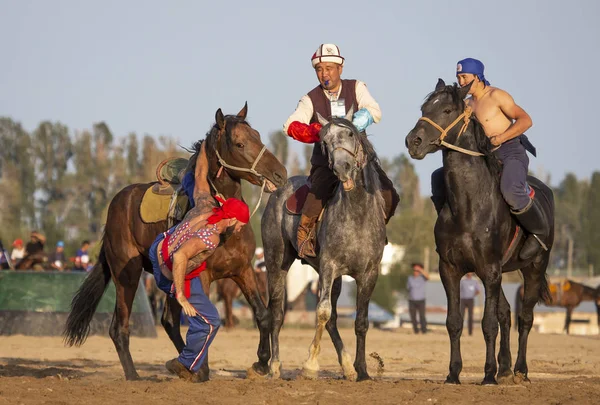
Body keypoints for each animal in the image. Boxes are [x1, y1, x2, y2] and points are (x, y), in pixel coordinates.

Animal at [66, 103, 288, 378]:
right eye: (239, 143)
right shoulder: (203, 276)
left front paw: (261, 363)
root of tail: (117, 205)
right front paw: (203, 368)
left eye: (257, 135)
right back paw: (135, 375)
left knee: (169, 321)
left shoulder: (242, 270)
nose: (280, 174)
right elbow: (203, 319)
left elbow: (263, 315)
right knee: (120, 327)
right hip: (127, 275)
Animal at [262, 107, 384, 378]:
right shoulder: (329, 266)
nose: (342, 167)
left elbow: (361, 321)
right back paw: (274, 365)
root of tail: (277, 191)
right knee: (276, 313)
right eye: (324, 142)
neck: (357, 212)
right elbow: (322, 312)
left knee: (334, 320)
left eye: (350, 133)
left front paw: (362, 370)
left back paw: (347, 366)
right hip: (277, 263)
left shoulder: (368, 274)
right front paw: (309, 365)